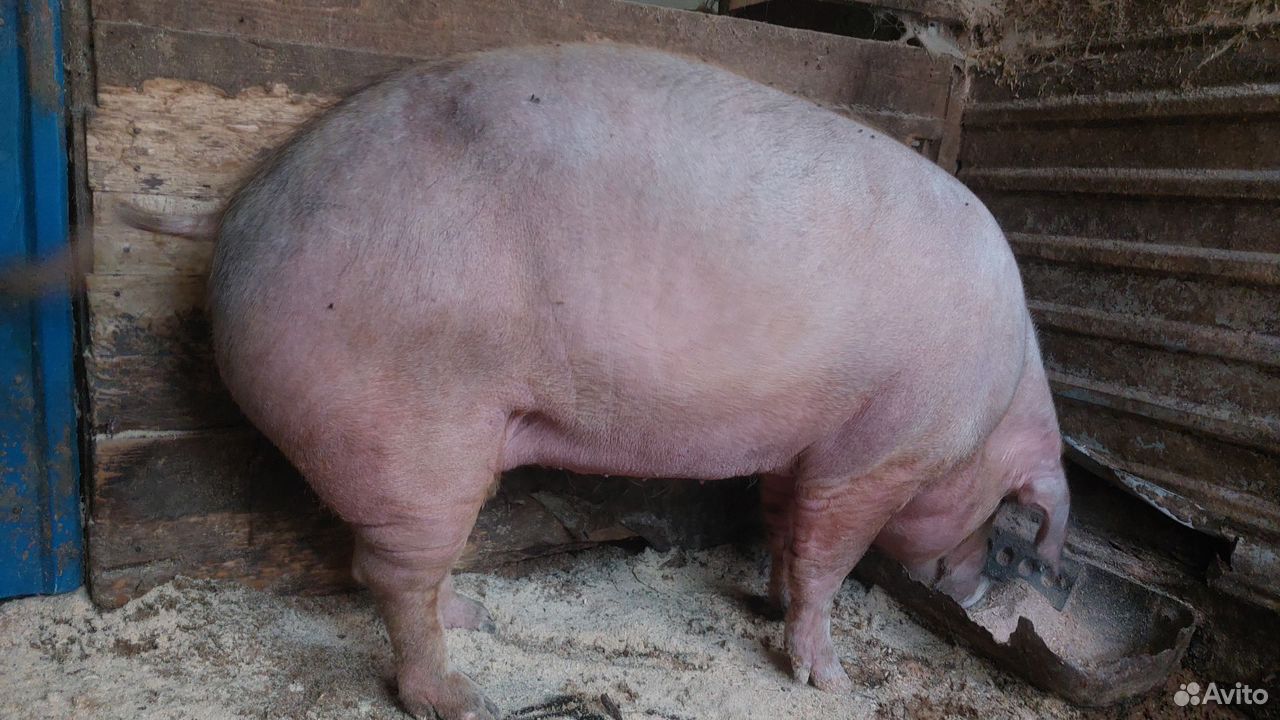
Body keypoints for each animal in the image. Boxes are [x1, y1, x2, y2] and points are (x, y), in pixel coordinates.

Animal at [123, 43, 1070, 720]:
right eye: (1000, 517)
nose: (973, 587)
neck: (994, 401)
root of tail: (241, 203)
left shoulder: (794, 448)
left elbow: (782, 528)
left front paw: (765, 603)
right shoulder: (874, 454)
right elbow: (828, 559)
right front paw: (832, 684)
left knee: (400, 569)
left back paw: (478, 620)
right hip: (406, 427)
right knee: (388, 571)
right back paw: (463, 699)